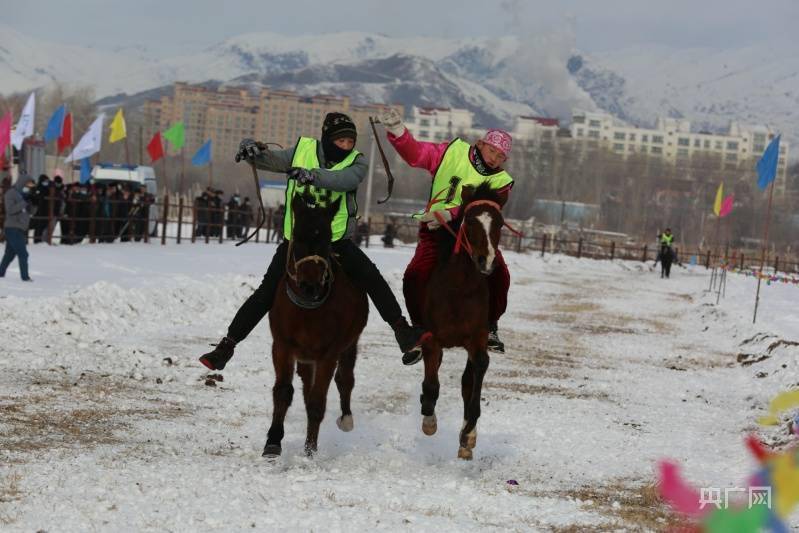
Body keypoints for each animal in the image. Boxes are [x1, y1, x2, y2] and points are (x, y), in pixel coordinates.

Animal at [266, 193, 372, 456]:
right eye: (298, 237)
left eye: (326, 240)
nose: (310, 286)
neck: (307, 310)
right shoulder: (282, 347)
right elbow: (283, 392)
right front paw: (273, 442)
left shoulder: (328, 354)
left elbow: (317, 401)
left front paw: (310, 451)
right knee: (306, 383)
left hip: (349, 345)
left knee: (345, 380)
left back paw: (346, 419)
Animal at [416, 182, 510, 458]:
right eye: (469, 220)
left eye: (500, 223)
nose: (486, 261)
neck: (459, 288)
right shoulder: (433, 340)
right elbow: (432, 384)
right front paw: (429, 421)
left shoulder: (476, 339)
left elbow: (477, 373)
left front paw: (468, 433)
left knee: (467, 381)